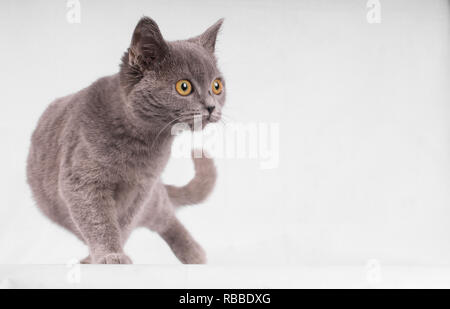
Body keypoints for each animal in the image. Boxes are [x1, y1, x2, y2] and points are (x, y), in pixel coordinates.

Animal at [25, 16, 225, 262]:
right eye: (184, 87)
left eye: (217, 86)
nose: (211, 107)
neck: (142, 145)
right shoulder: (81, 182)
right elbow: (98, 221)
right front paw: (110, 255)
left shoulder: (142, 189)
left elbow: (123, 223)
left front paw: (111, 254)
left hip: (153, 198)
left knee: (165, 217)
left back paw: (194, 254)